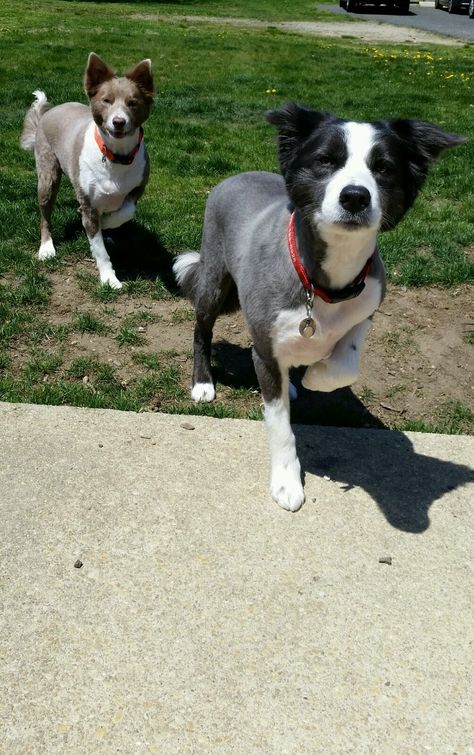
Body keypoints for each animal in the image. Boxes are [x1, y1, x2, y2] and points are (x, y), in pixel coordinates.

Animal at [20, 50, 154, 286]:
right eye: (106, 100)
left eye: (133, 102)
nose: (118, 122)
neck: (116, 156)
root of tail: (49, 111)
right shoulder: (89, 203)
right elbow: (99, 248)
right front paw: (109, 279)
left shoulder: (138, 188)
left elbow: (126, 211)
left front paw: (108, 224)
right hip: (47, 176)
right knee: (45, 215)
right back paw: (46, 249)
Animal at [173, 102, 462, 512]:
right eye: (326, 160)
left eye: (383, 167)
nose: (355, 196)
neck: (325, 283)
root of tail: (239, 175)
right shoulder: (266, 343)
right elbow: (279, 424)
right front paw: (286, 481)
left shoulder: (368, 301)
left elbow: (346, 362)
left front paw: (315, 376)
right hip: (213, 277)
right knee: (202, 330)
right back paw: (203, 382)